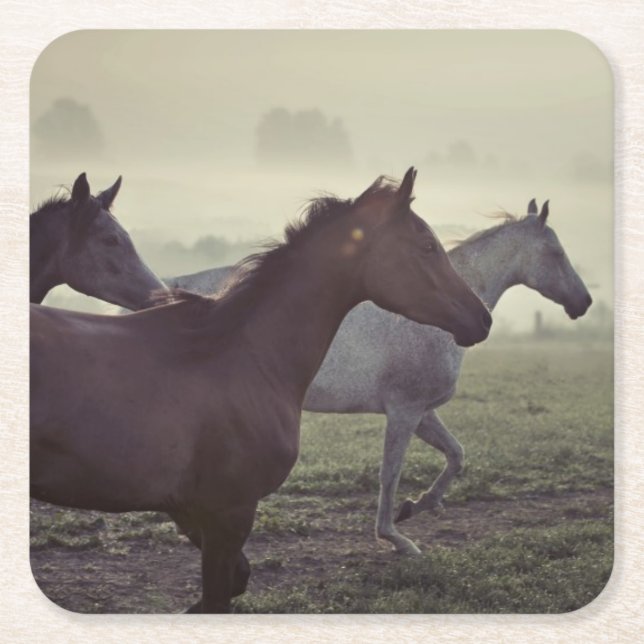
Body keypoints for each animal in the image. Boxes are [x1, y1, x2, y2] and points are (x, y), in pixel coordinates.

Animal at [165, 197, 592, 555]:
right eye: (556, 253)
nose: (584, 302)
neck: (432, 317)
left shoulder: (422, 412)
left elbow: (455, 455)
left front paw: (419, 506)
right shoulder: (404, 411)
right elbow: (391, 473)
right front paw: (396, 537)